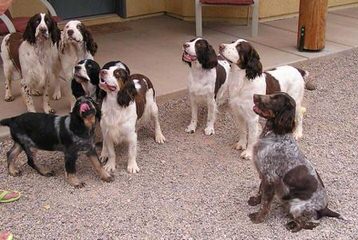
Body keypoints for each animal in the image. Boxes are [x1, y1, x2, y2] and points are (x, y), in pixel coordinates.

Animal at [248, 91, 340, 231]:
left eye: (275, 99)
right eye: (272, 94)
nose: (254, 95)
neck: (275, 135)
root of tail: (325, 208)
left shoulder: (270, 178)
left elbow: (265, 203)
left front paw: (258, 218)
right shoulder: (264, 174)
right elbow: (260, 191)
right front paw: (255, 201)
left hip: (297, 207)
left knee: (309, 223)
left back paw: (292, 226)